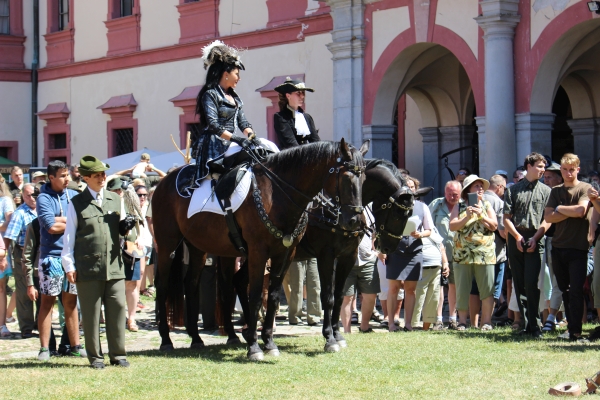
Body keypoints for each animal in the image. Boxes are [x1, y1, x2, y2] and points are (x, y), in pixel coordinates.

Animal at [152, 139, 368, 360]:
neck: (277, 194)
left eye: (364, 178)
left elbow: (274, 297)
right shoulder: (267, 252)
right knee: (163, 285)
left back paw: (199, 338)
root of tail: (163, 182)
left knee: (196, 284)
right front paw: (255, 347)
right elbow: (258, 296)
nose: (354, 221)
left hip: (200, 248)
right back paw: (167, 340)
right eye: (346, 177)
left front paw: (269, 342)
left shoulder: (288, 254)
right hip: (167, 244)